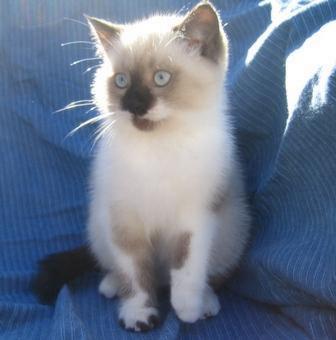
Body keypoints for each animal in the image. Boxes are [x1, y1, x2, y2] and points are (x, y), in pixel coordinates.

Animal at [33, 1, 249, 334]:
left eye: (161, 78)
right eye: (121, 82)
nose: (134, 105)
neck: (158, 151)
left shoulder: (194, 219)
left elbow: (187, 267)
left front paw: (186, 309)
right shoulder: (124, 220)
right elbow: (135, 274)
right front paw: (139, 315)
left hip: (233, 230)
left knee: (206, 274)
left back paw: (205, 303)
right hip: (98, 227)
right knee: (118, 268)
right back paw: (110, 286)